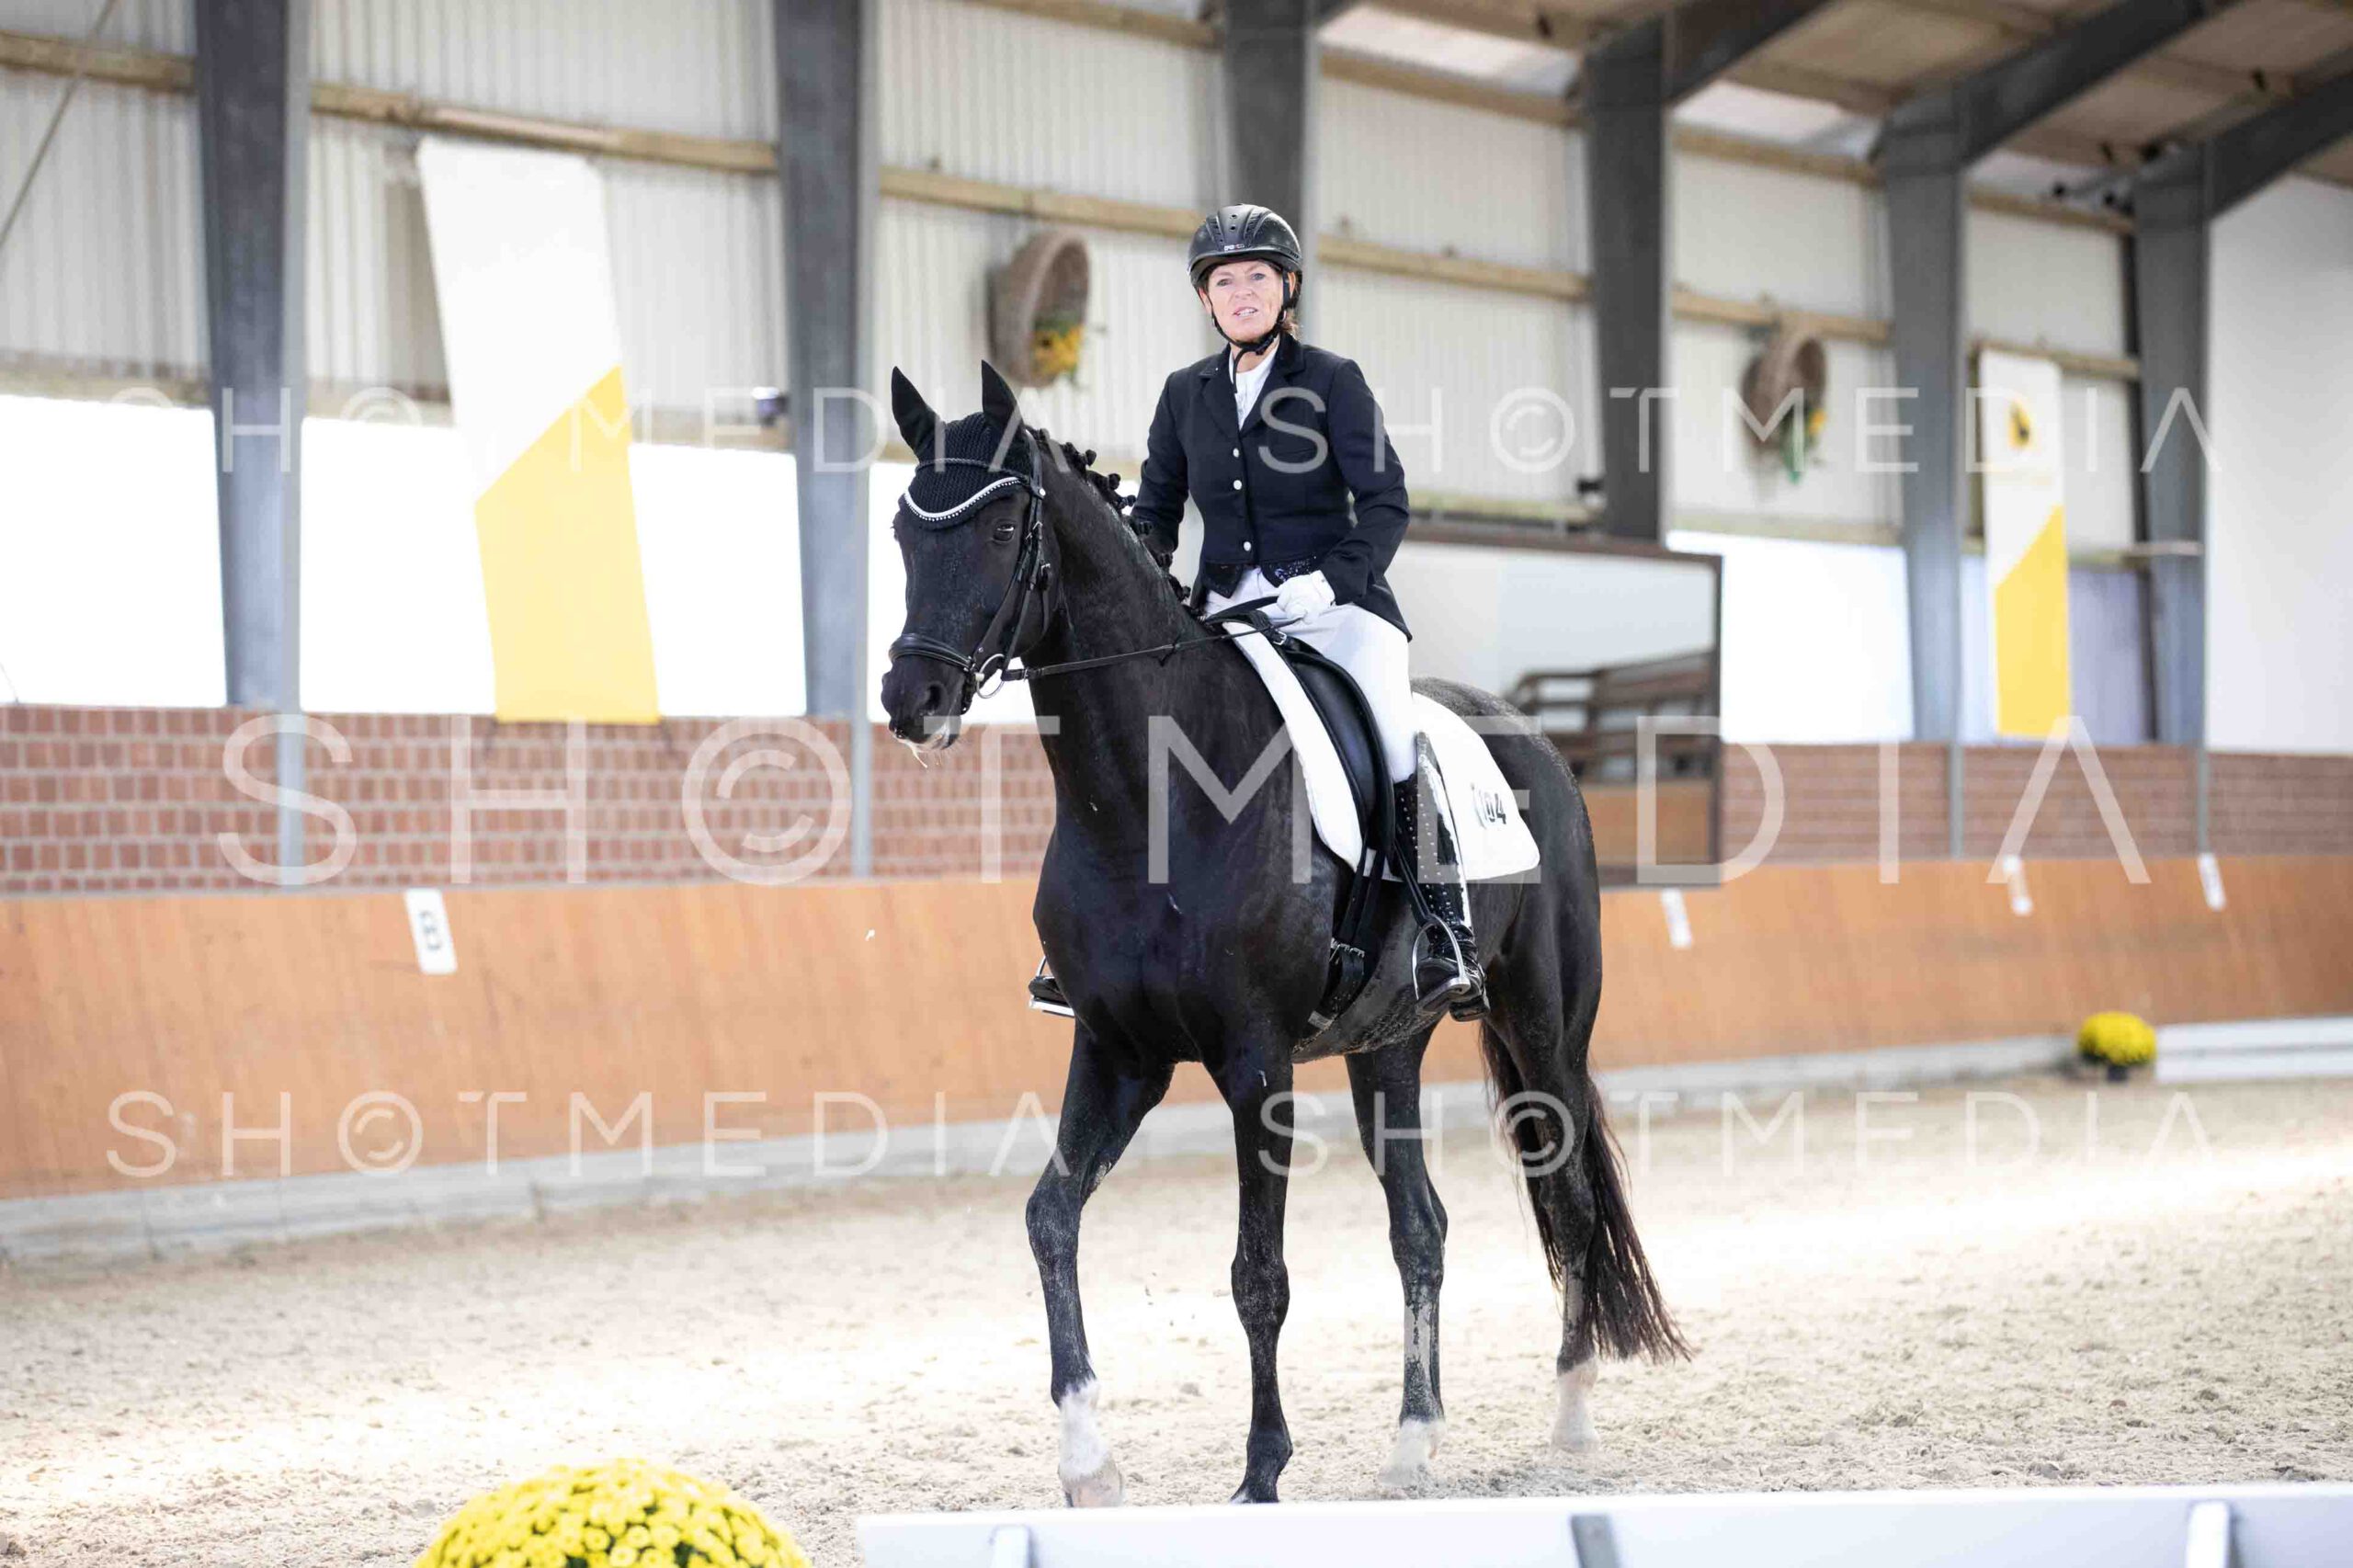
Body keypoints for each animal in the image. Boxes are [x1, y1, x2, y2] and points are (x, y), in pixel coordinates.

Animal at [877, 361, 1686, 1507]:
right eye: (906, 530)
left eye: (999, 530)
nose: (914, 697)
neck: (1152, 798)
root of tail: (1537, 744)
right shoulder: (1116, 1052)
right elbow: (1049, 1217)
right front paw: (1087, 1458)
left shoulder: (1254, 1062)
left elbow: (1257, 1273)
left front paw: (1261, 1469)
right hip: (1387, 1042)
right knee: (1421, 1224)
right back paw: (1414, 1437)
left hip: (1544, 1028)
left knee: (1568, 1202)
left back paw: (1569, 1418)